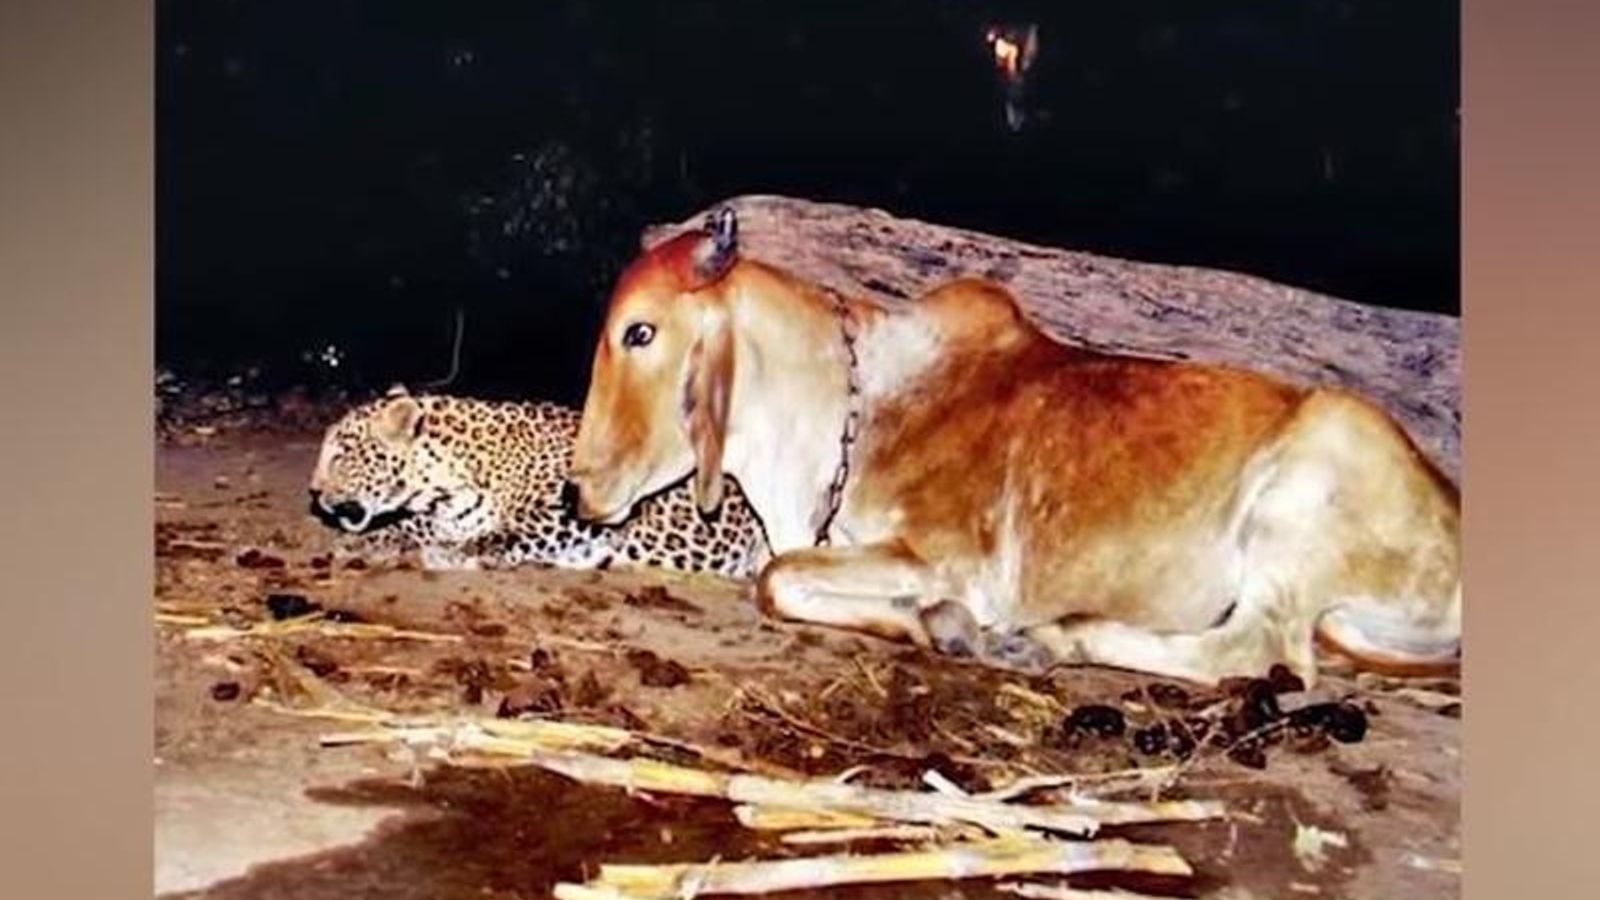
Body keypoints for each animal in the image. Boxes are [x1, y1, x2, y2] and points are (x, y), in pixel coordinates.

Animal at [307, 385, 769, 577]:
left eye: (342, 453)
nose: (313, 492)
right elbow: (413, 523)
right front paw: (372, 540)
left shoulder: (584, 505)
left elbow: (516, 529)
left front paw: (458, 553)